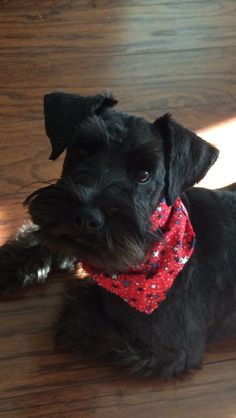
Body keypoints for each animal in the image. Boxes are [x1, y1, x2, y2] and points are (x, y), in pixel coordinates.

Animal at [0, 92, 236, 378]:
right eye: (82, 151)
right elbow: (47, 239)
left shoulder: (168, 349)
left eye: (144, 174)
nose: (86, 217)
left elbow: (82, 314)